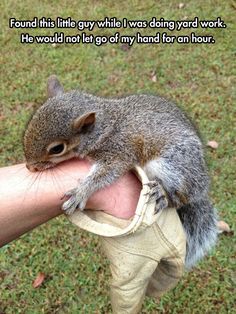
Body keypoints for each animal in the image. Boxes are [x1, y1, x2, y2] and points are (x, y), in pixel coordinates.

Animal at [24, 75, 218, 268]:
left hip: (173, 166)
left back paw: (162, 193)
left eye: (57, 148)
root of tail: (202, 185)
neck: (104, 128)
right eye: (30, 124)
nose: (30, 167)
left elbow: (106, 173)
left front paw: (81, 192)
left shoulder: (119, 151)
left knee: (179, 197)